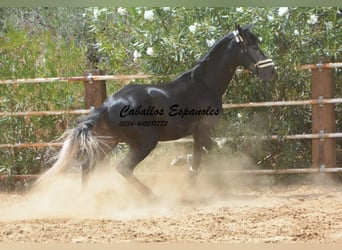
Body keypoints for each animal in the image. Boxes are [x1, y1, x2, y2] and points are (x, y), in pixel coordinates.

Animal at [36, 24, 276, 198]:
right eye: (253, 47)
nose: (271, 71)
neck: (204, 84)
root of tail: (105, 106)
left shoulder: (198, 134)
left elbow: (200, 157)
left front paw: (185, 173)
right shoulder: (202, 131)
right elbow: (207, 155)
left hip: (108, 142)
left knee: (88, 166)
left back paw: (86, 199)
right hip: (145, 142)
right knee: (123, 168)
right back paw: (150, 195)